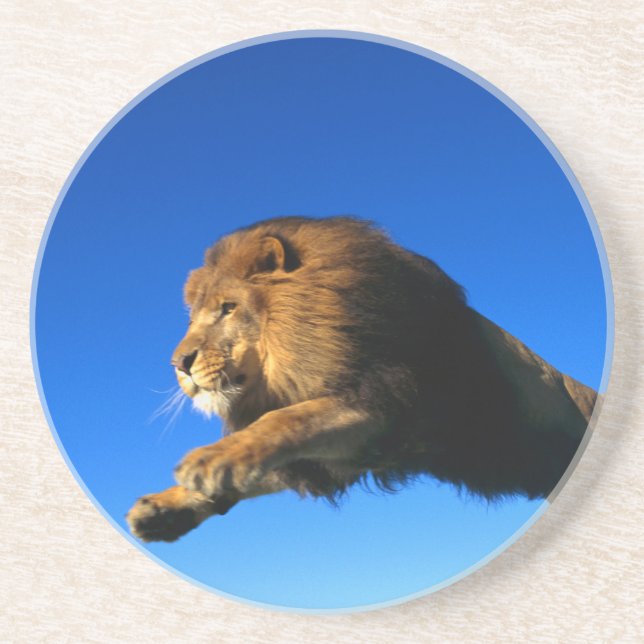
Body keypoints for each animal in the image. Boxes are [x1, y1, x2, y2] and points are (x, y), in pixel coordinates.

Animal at [126, 216, 598, 542]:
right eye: (192, 317)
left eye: (228, 308)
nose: (179, 362)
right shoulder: (350, 453)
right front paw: (166, 508)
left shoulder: (392, 405)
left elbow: (288, 419)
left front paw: (210, 459)